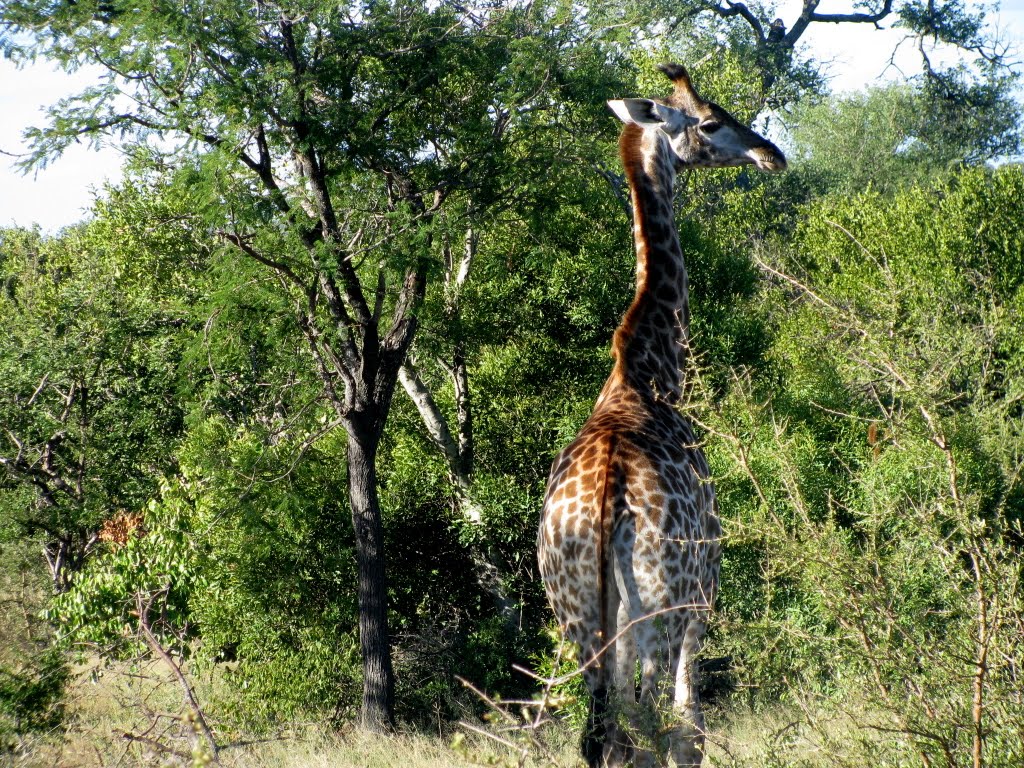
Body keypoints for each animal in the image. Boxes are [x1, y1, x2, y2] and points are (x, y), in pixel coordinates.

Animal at [536, 63, 782, 765]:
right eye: (711, 121)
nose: (770, 154)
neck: (650, 375)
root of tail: (604, 503)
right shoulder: (705, 584)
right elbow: (688, 726)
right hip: (659, 602)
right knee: (646, 722)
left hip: (577, 610)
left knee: (603, 731)